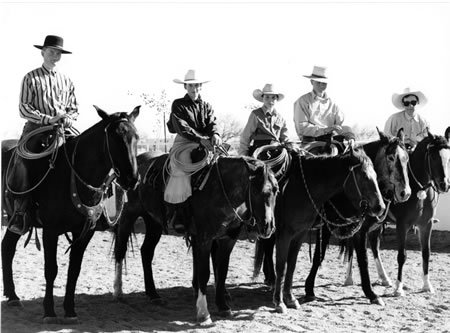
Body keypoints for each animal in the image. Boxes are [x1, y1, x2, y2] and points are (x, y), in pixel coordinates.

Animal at [1, 105, 140, 322]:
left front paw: (70, 310)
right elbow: (51, 270)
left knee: (6, 247)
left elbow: (74, 270)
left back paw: (13, 296)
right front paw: (49, 311)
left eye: (137, 137)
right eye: (114, 137)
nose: (131, 179)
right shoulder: (50, 230)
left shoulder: (85, 232)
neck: (72, 176)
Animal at [264, 145, 386, 312]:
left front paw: (291, 298)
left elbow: (292, 264)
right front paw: (281, 301)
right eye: (363, 177)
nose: (380, 207)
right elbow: (284, 265)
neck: (300, 188)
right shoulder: (286, 234)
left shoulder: (300, 233)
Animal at [302, 129, 412, 304]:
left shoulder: (359, 228)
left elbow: (361, 257)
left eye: (406, 158)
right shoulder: (328, 226)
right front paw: (309, 288)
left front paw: (370, 291)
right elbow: (321, 254)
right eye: (391, 157)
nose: (405, 193)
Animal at [342, 127, 448, 296]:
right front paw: (399, 288)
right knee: (353, 243)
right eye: (433, 156)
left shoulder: (426, 224)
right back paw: (349, 278)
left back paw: (384, 278)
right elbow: (401, 255)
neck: (420, 189)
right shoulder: (402, 225)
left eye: (448, 157)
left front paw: (427, 285)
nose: (444, 185)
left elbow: (426, 252)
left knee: (374, 244)